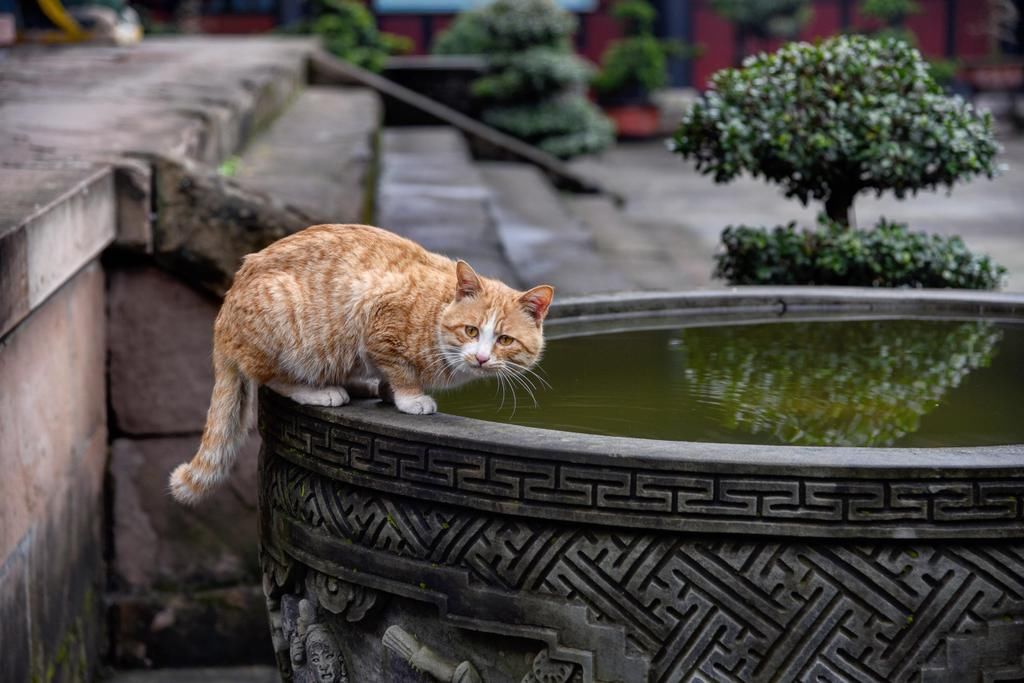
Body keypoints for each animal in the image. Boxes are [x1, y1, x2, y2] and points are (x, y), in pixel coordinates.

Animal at [169, 227, 552, 505]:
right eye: (471, 331)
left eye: (504, 340)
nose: (481, 357)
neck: (438, 308)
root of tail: (223, 319)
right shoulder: (376, 315)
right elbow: (399, 369)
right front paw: (411, 398)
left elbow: (389, 374)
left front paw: (387, 390)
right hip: (288, 324)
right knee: (273, 378)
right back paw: (319, 392)